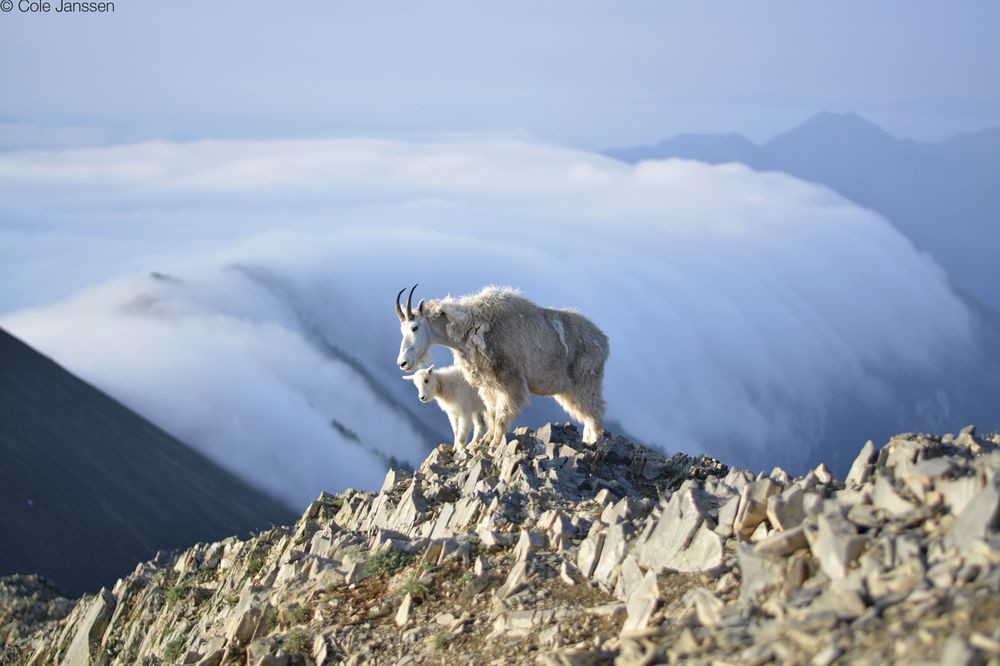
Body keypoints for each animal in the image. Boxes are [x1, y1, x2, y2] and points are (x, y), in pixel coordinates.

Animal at [394, 284, 604, 446]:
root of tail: (603, 341)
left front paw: (495, 443)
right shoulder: (488, 385)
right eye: (401, 330)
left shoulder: (509, 382)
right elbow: (492, 413)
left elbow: (502, 415)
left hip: (586, 384)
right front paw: (486, 440)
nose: (403, 363)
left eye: (415, 327)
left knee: (595, 418)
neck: (470, 326)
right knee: (588, 419)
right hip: (570, 392)